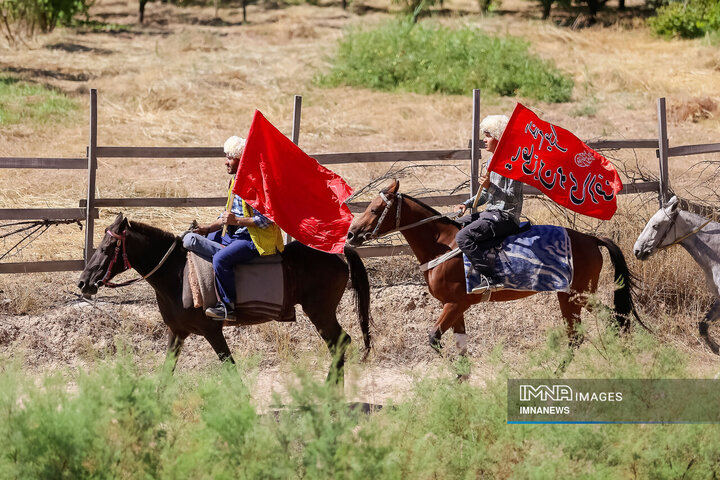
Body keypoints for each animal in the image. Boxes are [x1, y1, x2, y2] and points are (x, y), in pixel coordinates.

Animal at [79, 214, 372, 382]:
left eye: (107, 248)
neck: (178, 274)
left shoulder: (212, 331)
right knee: (339, 345)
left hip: (320, 311)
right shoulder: (177, 332)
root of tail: (337, 251)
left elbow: (229, 367)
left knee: (341, 343)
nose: (84, 282)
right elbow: (166, 370)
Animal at [346, 180, 640, 356]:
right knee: (580, 335)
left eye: (374, 210)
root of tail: (591, 238)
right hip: (567, 297)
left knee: (614, 319)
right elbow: (461, 347)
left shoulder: (456, 303)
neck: (442, 244)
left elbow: (434, 339)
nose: (350, 234)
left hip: (579, 295)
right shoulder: (455, 308)